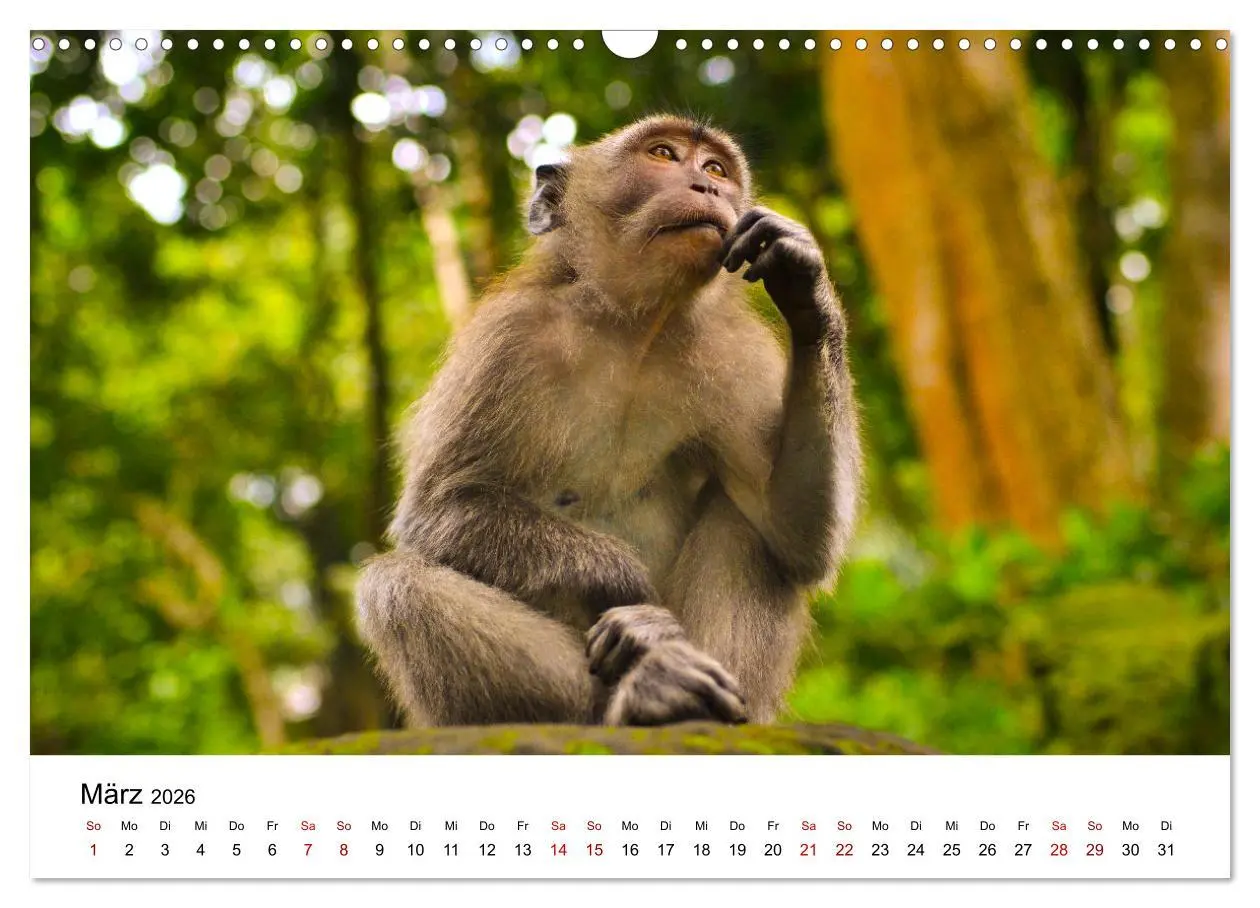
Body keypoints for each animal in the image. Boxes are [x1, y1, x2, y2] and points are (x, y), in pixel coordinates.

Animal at [355, 115, 861, 728]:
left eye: (716, 168)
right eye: (663, 155)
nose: (708, 187)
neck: (633, 327)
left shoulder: (734, 355)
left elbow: (795, 534)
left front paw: (805, 283)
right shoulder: (506, 340)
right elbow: (440, 509)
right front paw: (634, 596)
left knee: (747, 525)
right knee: (396, 585)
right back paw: (645, 691)